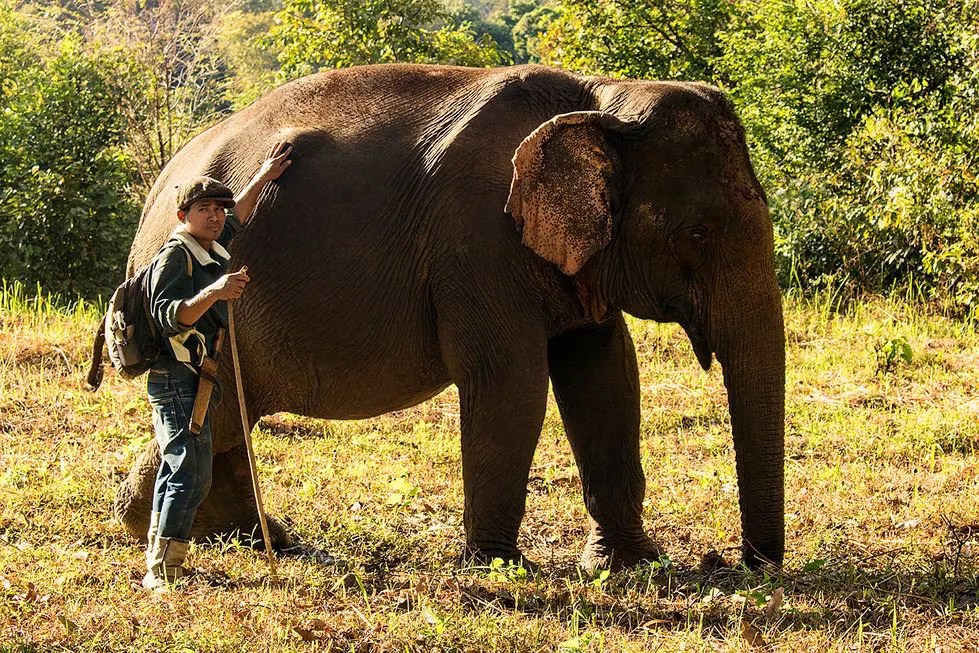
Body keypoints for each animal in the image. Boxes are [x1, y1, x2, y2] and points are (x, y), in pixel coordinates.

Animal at [114, 63, 785, 571]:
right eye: (697, 233)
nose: (742, 564)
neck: (600, 98)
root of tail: (155, 196)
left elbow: (607, 375)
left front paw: (628, 564)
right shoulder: (478, 243)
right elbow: (511, 383)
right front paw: (499, 567)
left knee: (223, 423)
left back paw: (257, 538)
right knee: (216, 418)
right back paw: (167, 528)